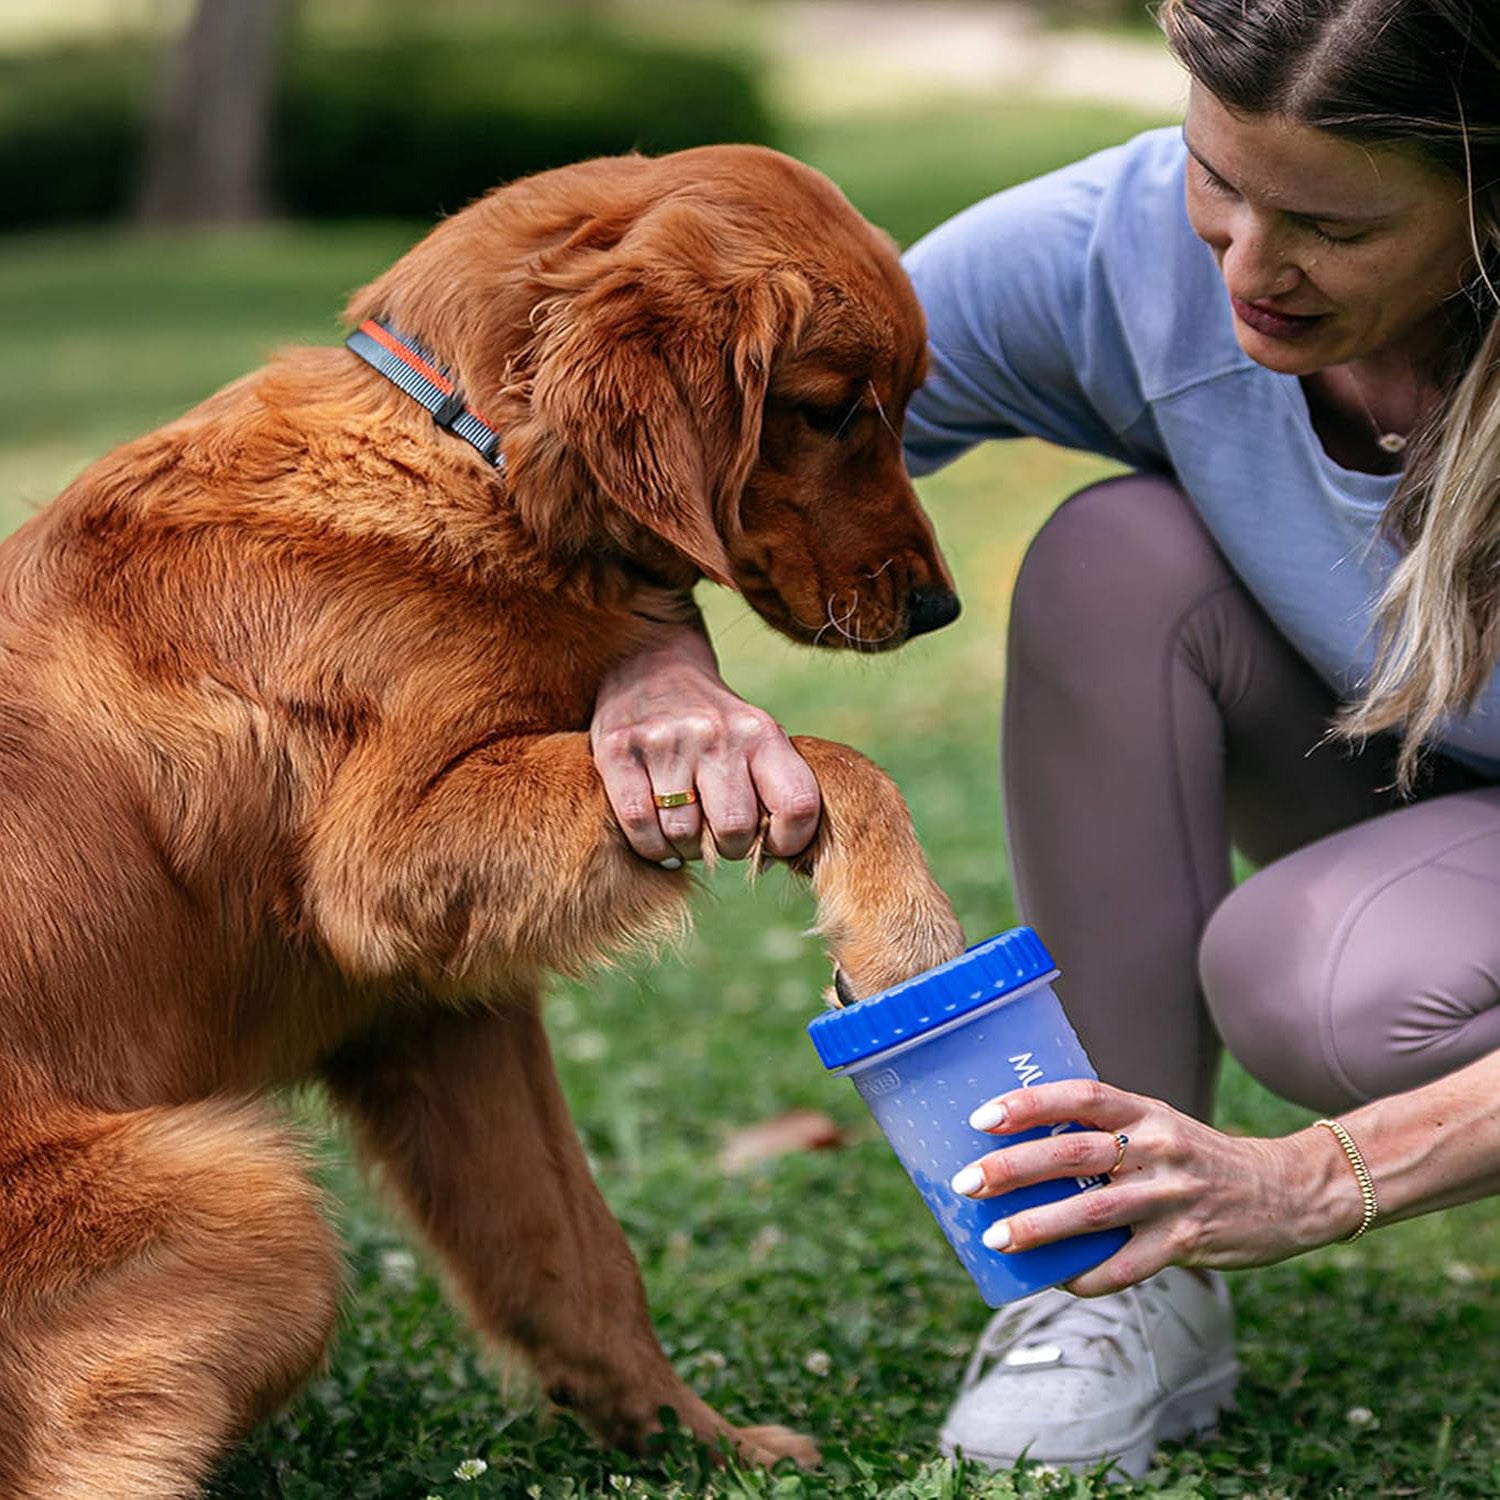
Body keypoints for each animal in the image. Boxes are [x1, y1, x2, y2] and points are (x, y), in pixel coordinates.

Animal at [0, 143, 966, 1500]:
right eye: (833, 410)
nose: (944, 610)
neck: (471, 460)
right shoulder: (387, 853)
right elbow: (833, 755)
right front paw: (904, 935)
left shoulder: (436, 1011)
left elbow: (573, 1253)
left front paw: (698, 1441)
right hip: (257, 1205)